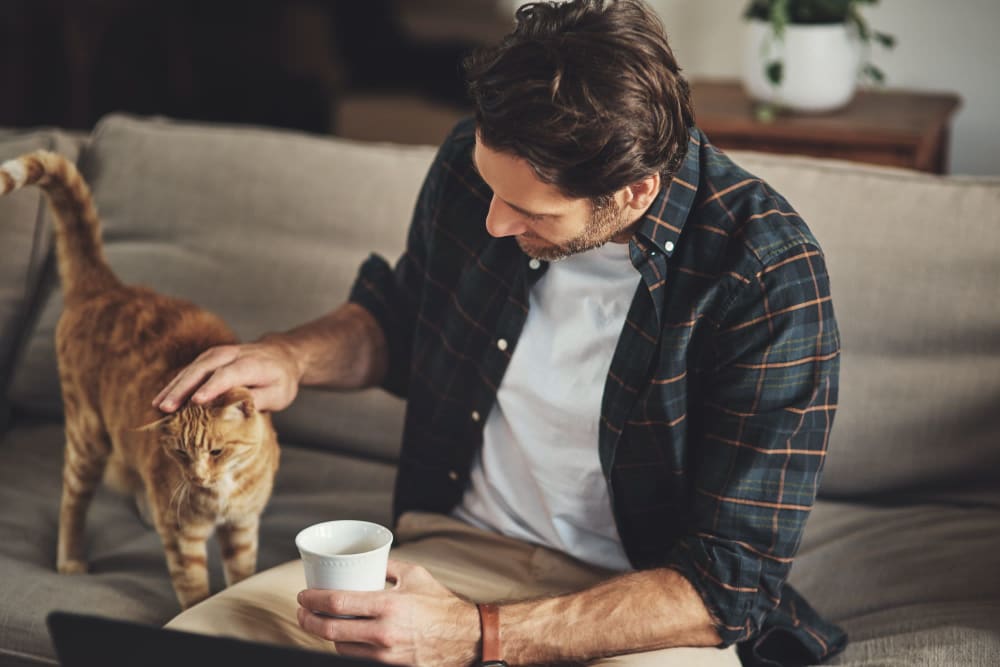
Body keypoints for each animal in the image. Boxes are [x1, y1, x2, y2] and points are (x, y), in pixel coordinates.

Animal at [1, 151, 282, 612]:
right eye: (181, 455)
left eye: (217, 452)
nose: (197, 478)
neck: (220, 493)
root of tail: (107, 287)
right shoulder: (183, 537)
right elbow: (194, 591)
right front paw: (195, 611)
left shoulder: (242, 527)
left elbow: (242, 578)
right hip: (87, 438)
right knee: (72, 503)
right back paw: (71, 559)